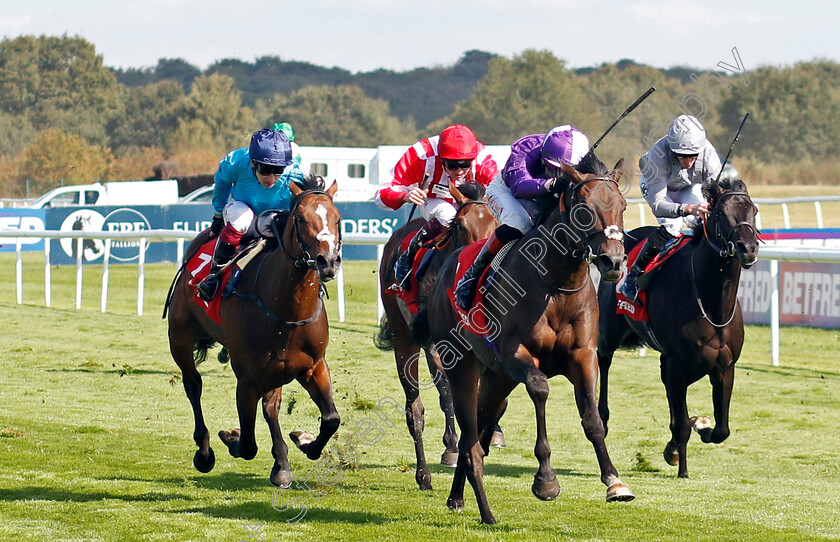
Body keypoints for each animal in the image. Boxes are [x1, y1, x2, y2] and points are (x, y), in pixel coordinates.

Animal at [164, 175, 342, 488]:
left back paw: (281, 464)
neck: (285, 308)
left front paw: (304, 442)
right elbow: (247, 444)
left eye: (337, 218)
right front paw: (231, 436)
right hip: (181, 338)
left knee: (271, 406)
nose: (328, 261)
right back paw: (204, 451)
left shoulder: (312, 365)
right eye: (300, 218)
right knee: (193, 384)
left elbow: (331, 418)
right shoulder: (246, 378)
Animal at [374, 183, 498, 492]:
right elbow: (448, 394)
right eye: (461, 226)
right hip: (405, 336)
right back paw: (425, 473)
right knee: (416, 407)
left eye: (495, 223)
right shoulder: (437, 342)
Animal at [426, 157, 632, 528]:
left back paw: (457, 497)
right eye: (584, 208)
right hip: (464, 366)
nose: (614, 261)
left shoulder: (583, 356)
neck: (557, 283)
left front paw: (614, 481)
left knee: (477, 431)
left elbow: (593, 418)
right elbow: (540, 389)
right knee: (469, 435)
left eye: (622, 206)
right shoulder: (516, 355)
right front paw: (546, 479)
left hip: (496, 379)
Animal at [596, 178, 760, 480]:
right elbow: (682, 422)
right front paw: (682, 467)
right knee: (604, 361)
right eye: (722, 213)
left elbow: (721, 429)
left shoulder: (723, 366)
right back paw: (602, 417)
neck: (712, 304)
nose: (748, 248)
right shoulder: (678, 364)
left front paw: (699, 427)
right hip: (610, 332)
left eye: (753, 210)